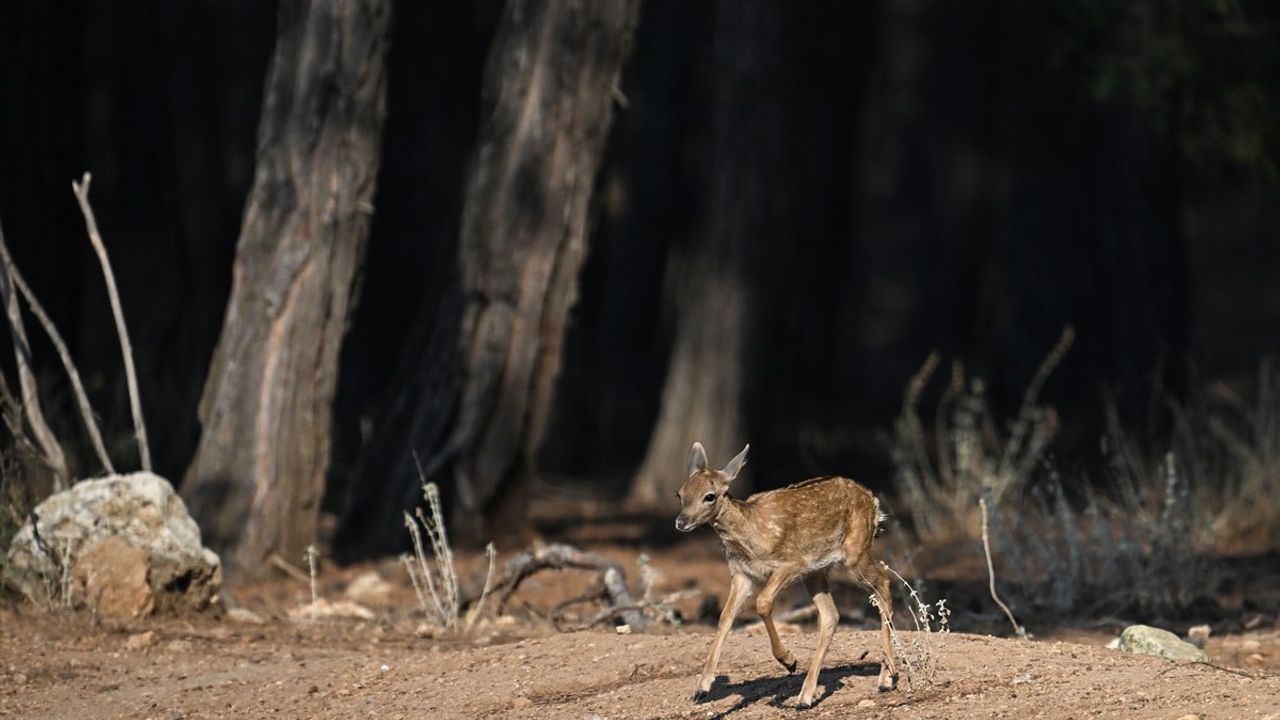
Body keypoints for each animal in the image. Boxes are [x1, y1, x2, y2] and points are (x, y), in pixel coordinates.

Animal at [675, 440, 896, 702]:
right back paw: (806, 696)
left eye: (709, 496)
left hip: (854, 554)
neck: (752, 535)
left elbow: (762, 603)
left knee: (884, 581)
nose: (681, 521)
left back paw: (886, 680)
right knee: (832, 615)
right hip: (817, 572)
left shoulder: (791, 563)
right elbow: (725, 617)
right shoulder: (742, 574)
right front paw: (702, 686)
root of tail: (874, 501)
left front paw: (789, 661)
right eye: (680, 494)